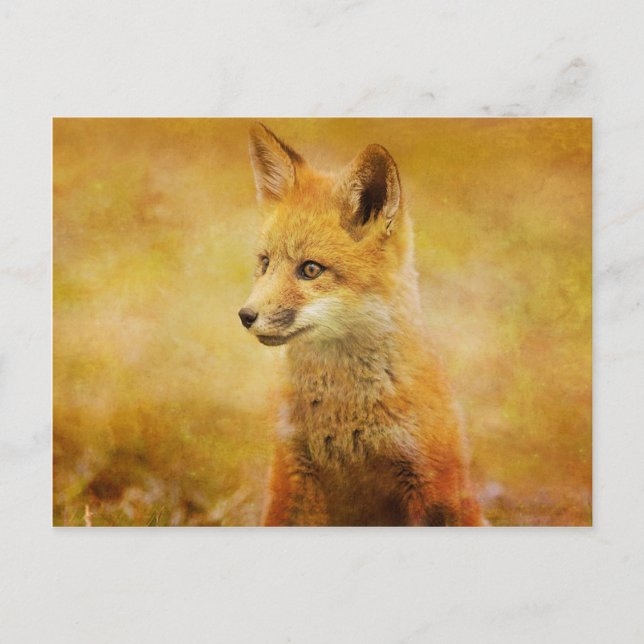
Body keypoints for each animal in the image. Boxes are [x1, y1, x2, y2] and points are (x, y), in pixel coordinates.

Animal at [238, 122, 484, 526]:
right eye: (264, 263)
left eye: (310, 269)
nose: (245, 316)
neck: (343, 417)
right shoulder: (290, 471)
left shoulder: (430, 480)